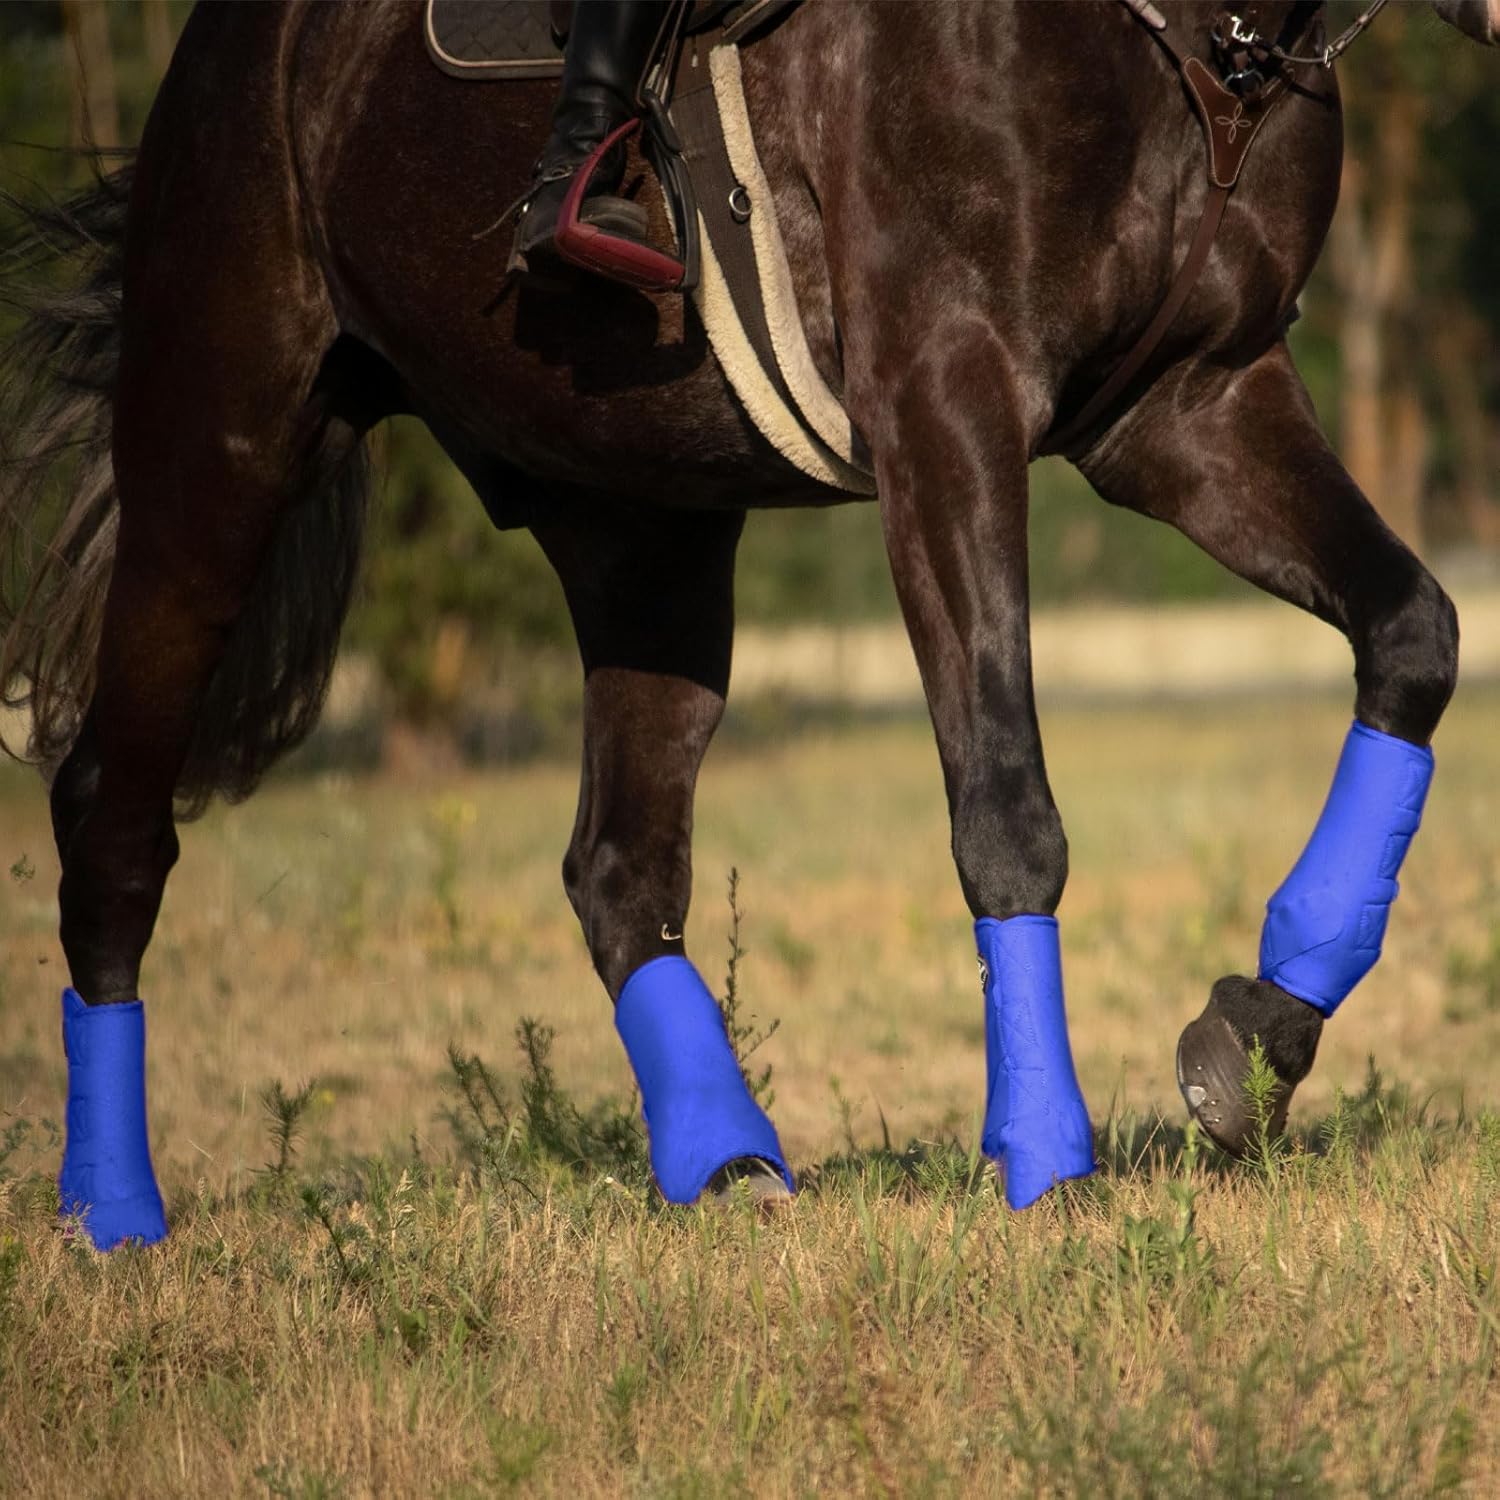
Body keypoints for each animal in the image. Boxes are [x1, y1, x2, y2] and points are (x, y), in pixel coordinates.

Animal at [2, 0, 1495, 1250]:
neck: (1194, 52)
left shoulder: (1192, 408)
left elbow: (1413, 638)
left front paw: (1257, 1034)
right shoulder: (946, 410)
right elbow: (1007, 810)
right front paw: (1045, 1162)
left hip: (639, 526)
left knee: (619, 864)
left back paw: (727, 1162)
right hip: (223, 454)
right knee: (113, 820)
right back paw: (112, 1211)